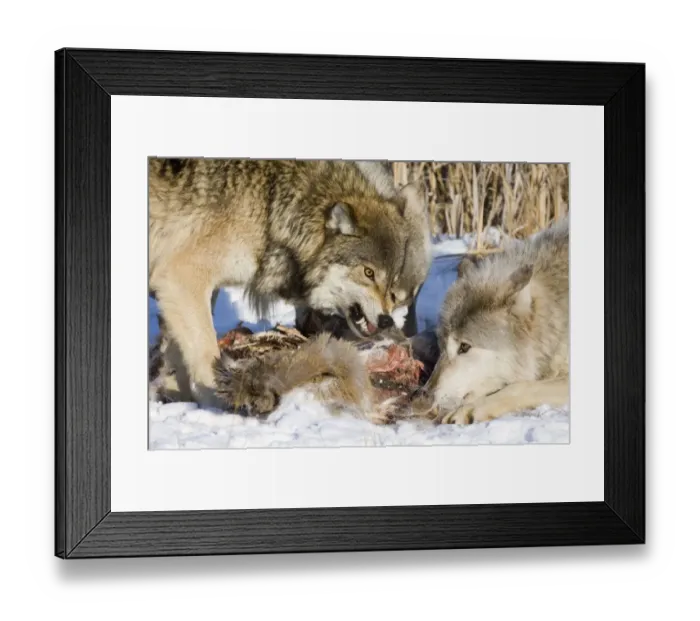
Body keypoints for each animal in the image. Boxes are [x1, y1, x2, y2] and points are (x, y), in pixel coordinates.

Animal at [149, 158, 423, 406]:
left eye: (391, 280)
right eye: (368, 273)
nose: (386, 320)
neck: (270, 205)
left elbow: (177, 350)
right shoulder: (182, 277)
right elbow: (205, 353)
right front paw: (217, 404)